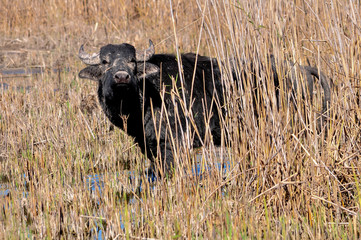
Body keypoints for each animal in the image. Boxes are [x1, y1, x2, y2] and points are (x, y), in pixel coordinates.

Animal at [77, 39, 330, 176]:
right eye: (105, 62)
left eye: (132, 61)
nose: (121, 76)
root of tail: (301, 68)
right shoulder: (149, 146)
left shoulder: (174, 144)